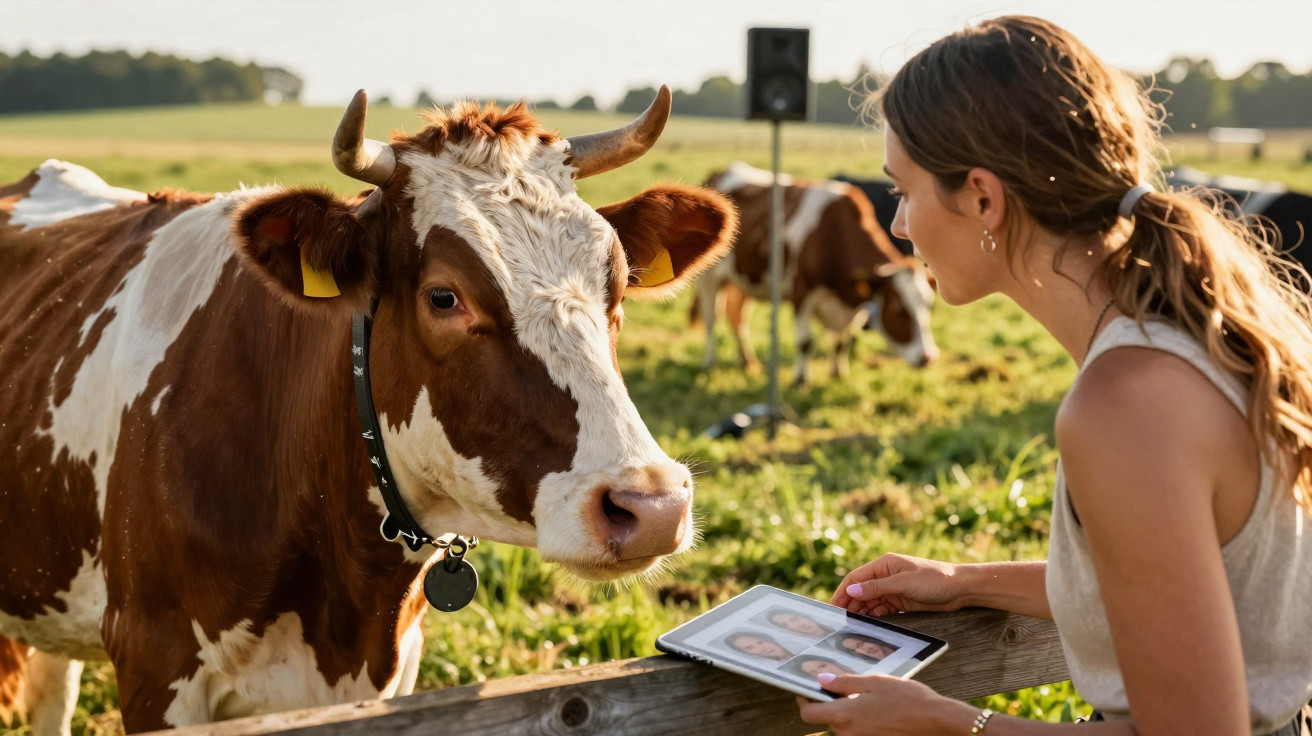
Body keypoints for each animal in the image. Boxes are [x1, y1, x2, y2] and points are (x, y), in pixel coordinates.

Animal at [694, 161, 938, 386]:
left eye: (928, 306)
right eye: (898, 310)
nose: (928, 357)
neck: (832, 232)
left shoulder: (851, 302)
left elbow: (841, 342)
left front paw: (838, 373)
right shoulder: (800, 292)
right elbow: (805, 342)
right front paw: (801, 379)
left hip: (744, 279)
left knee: (737, 316)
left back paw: (747, 362)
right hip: (709, 279)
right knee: (711, 317)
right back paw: (709, 360)